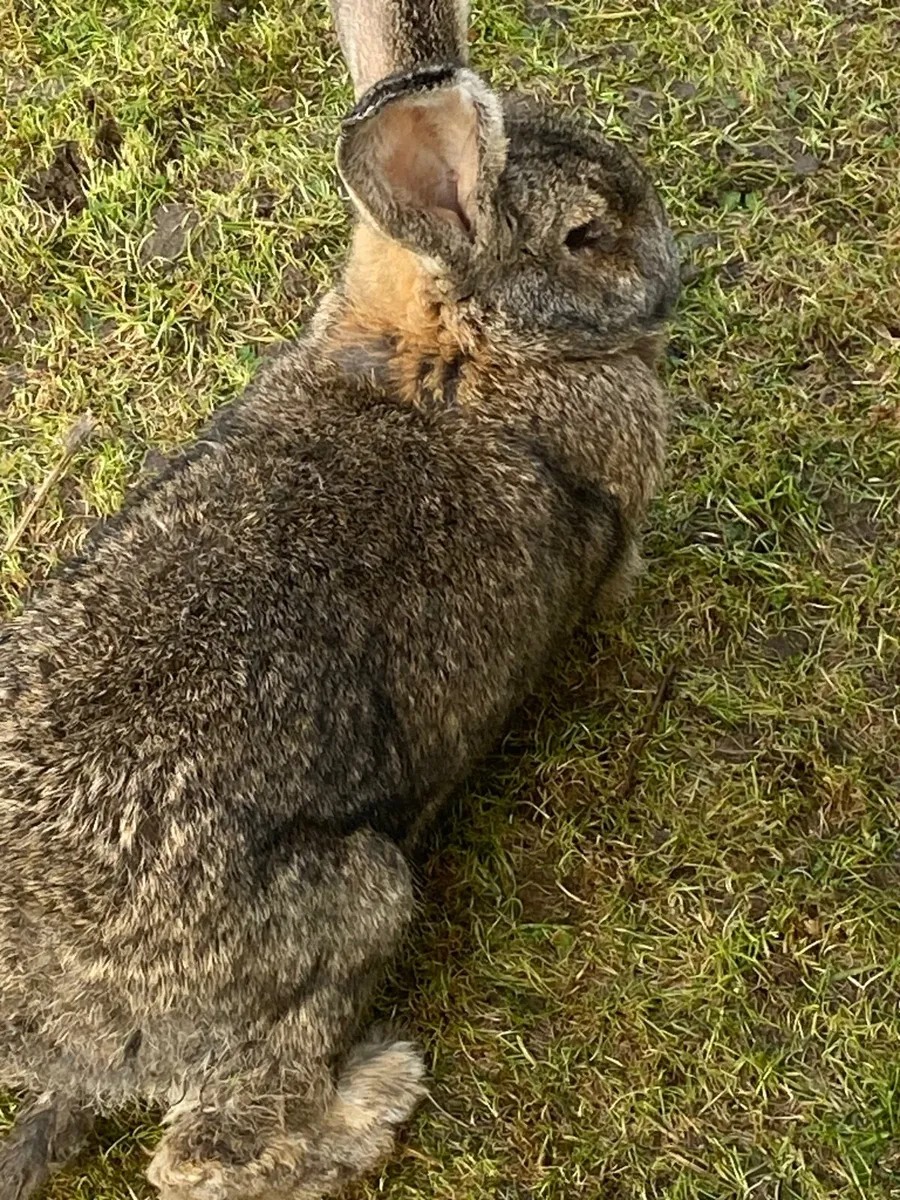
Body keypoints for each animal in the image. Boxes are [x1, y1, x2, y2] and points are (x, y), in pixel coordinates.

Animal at [0, 0, 679, 1196]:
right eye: (587, 235)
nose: (674, 275)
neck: (461, 351)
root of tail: (48, 1043)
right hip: (351, 904)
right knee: (203, 1157)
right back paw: (375, 1098)